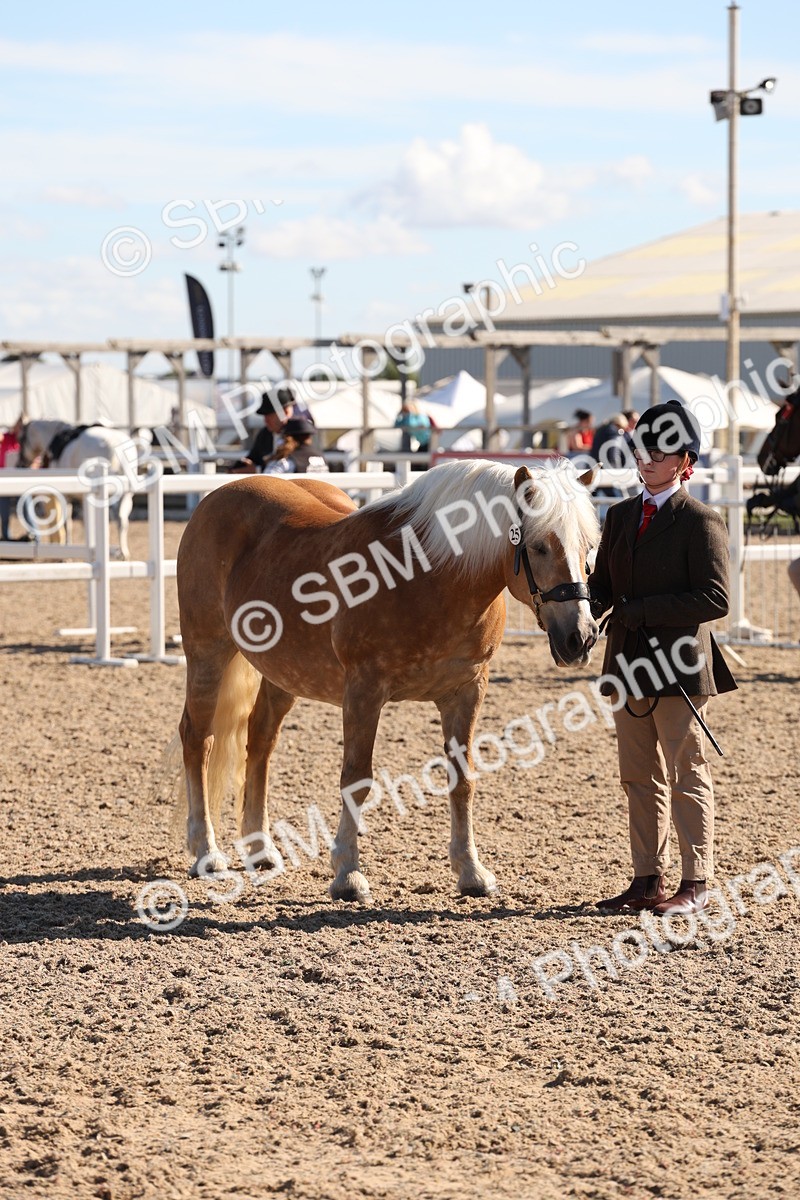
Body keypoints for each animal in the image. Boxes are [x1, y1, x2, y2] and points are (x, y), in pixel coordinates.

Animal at [17, 419, 135, 559]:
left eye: (20, 439)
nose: (20, 464)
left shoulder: (66, 495)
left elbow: (68, 522)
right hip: (127, 494)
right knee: (122, 521)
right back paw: (124, 552)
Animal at [176, 458, 600, 901]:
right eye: (538, 547)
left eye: (589, 546)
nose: (581, 637)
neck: (429, 576)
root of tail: (218, 495)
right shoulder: (364, 691)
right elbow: (356, 778)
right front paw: (347, 874)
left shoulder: (467, 691)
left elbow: (462, 778)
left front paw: (471, 871)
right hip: (207, 652)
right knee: (198, 738)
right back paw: (206, 852)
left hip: (283, 673)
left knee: (259, 742)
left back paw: (260, 849)